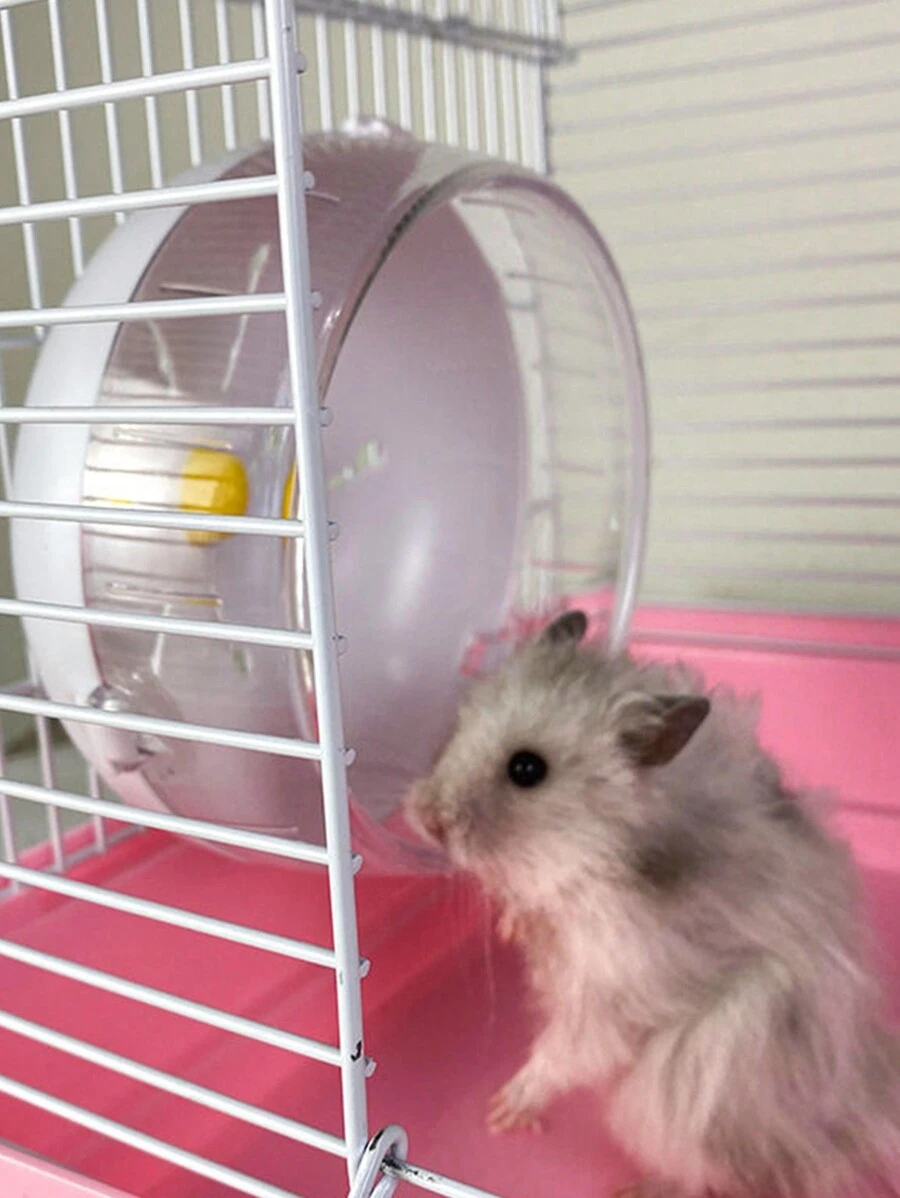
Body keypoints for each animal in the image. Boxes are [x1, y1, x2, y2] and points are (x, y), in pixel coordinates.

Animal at [406, 610, 900, 1198]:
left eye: (527, 769)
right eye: (461, 723)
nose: (423, 818)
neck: (591, 854)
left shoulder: (614, 992)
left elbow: (566, 1050)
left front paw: (504, 1111)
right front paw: (513, 926)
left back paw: (638, 1187)